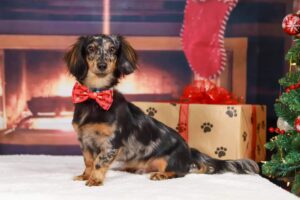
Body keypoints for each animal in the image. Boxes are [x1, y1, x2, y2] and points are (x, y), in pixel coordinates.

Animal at [64, 34, 258, 186]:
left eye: (112, 49)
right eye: (91, 48)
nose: (102, 65)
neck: (94, 97)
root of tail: (190, 151)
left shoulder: (111, 142)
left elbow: (99, 162)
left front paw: (95, 180)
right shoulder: (85, 141)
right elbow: (89, 161)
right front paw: (85, 176)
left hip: (168, 159)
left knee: (181, 173)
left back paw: (161, 175)